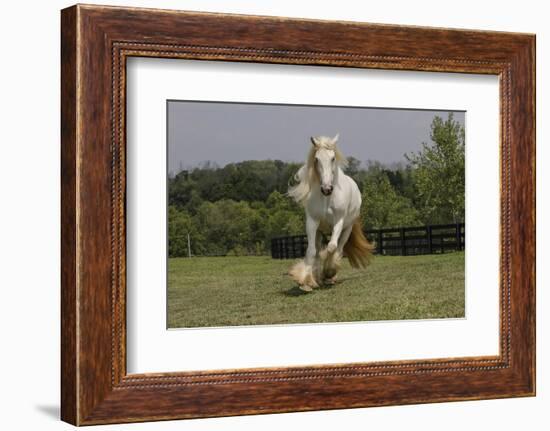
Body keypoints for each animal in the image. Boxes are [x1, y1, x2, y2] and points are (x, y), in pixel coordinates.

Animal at [288, 133, 376, 292]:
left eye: (333, 158)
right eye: (317, 159)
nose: (327, 189)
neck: (326, 199)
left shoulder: (338, 222)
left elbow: (331, 247)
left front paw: (328, 272)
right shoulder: (312, 222)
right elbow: (311, 251)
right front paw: (305, 281)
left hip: (347, 229)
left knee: (338, 249)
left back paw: (330, 277)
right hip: (320, 231)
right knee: (317, 250)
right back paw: (317, 276)